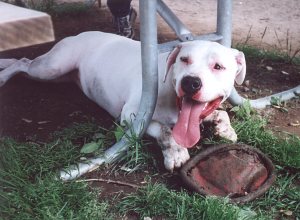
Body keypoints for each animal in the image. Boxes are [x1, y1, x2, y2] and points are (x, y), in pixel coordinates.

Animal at [0, 31, 245, 171]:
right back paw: (4, 75)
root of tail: (81, 33)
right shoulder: (131, 114)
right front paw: (176, 152)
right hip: (52, 67)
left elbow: (222, 112)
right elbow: (164, 130)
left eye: (218, 66)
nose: (190, 82)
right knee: (23, 61)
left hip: (59, 75)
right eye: (184, 59)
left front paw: (225, 129)